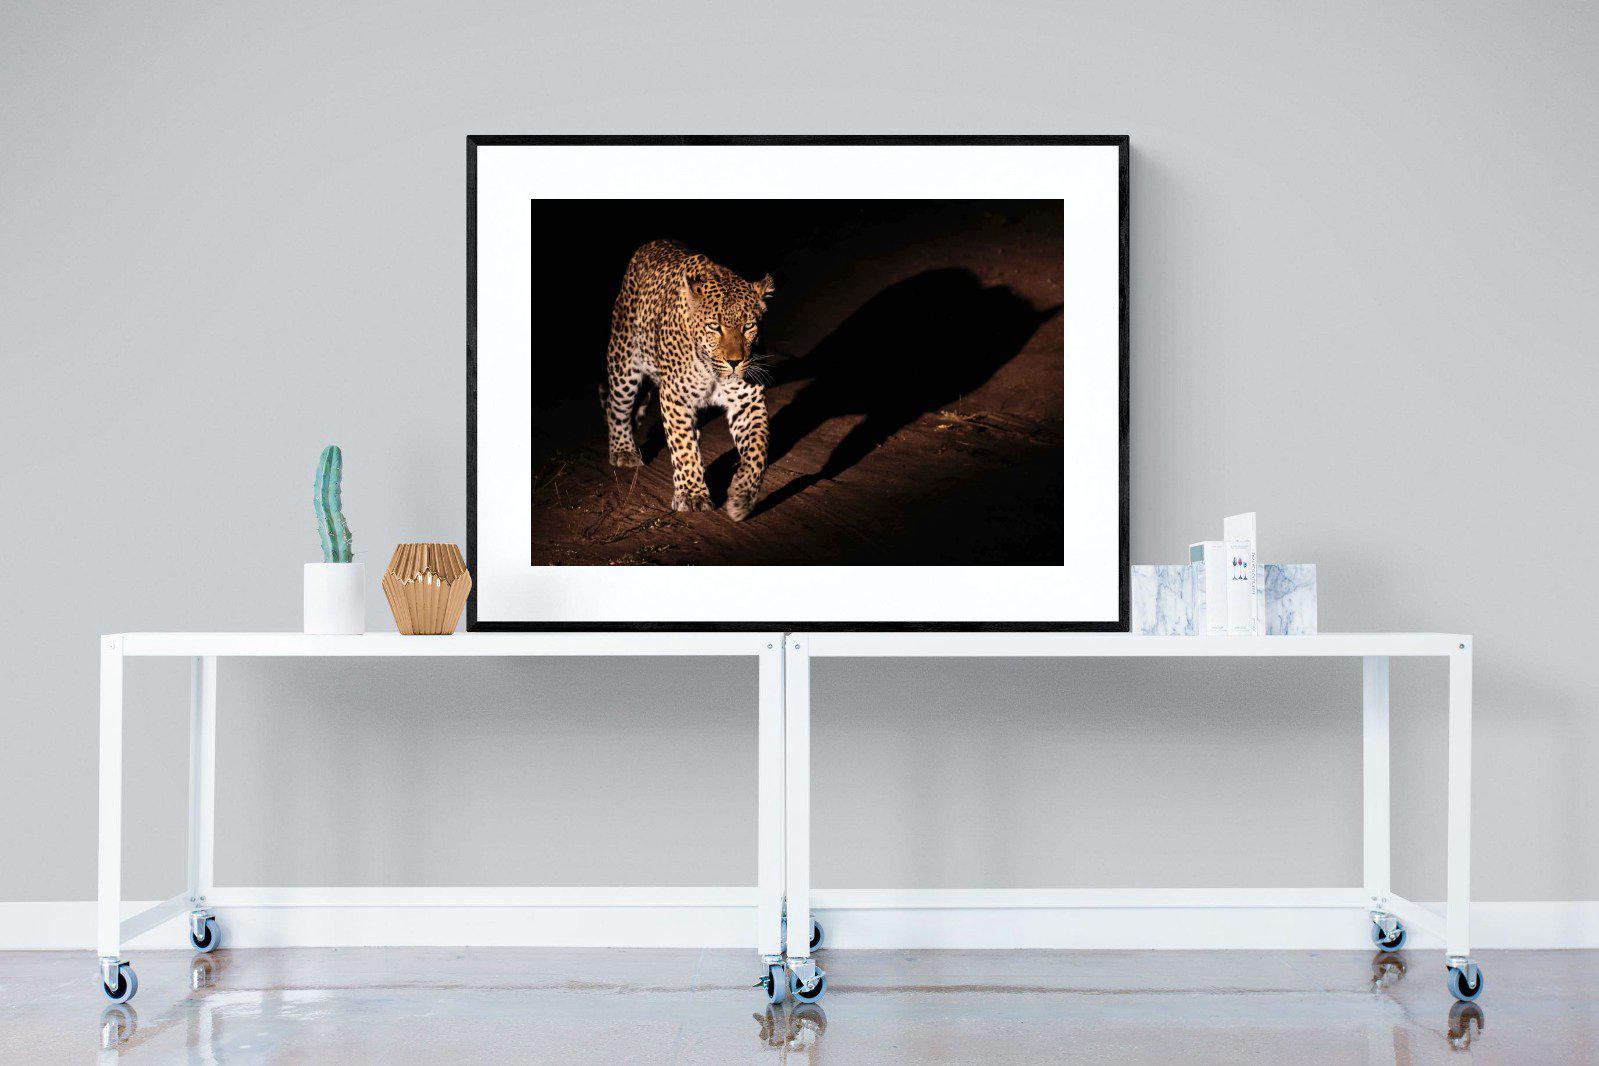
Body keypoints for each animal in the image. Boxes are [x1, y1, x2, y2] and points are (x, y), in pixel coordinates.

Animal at [604, 239, 774, 522]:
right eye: (714, 327)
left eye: (749, 326)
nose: (735, 362)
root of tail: (652, 243)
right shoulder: (675, 396)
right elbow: (683, 448)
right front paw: (693, 495)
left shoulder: (747, 401)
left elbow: (757, 450)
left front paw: (741, 496)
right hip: (624, 362)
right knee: (615, 406)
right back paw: (623, 451)